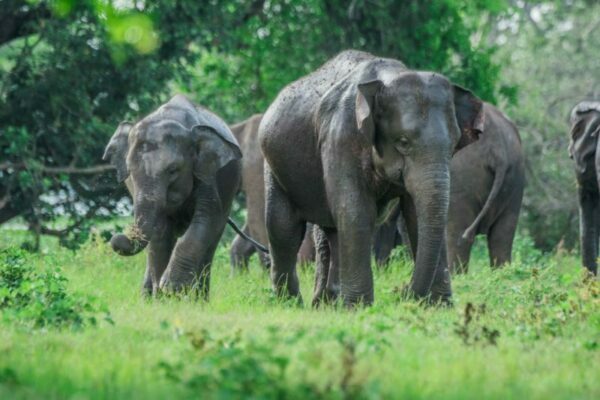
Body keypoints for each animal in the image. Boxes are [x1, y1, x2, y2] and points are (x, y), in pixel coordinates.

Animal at [102, 95, 241, 296]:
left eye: (173, 170)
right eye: (130, 172)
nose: (116, 237)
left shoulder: (207, 173)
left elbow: (207, 218)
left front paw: (173, 288)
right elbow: (160, 232)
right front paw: (164, 295)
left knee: (211, 244)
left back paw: (199, 298)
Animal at [260, 50, 486, 306]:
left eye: (453, 145)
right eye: (403, 142)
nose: (402, 293)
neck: (387, 78)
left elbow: (414, 215)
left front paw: (440, 306)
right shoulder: (340, 137)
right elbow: (356, 210)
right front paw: (359, 307)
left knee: (329, 230)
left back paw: (326, 304)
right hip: (274, 166)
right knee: (283, 228)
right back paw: (291, 303)